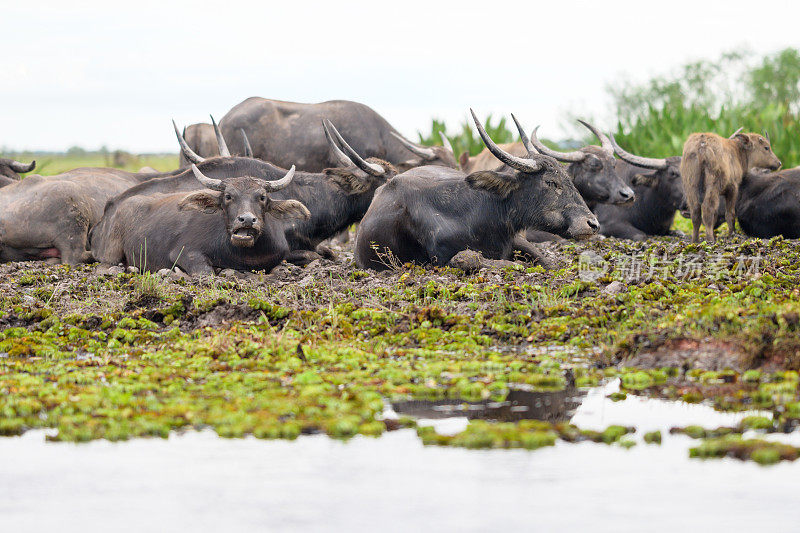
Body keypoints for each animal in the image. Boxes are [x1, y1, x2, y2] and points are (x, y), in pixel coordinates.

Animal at [90, 163, 310, 274]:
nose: (246, 220)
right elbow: (206, 272)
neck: (247, 254)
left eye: (262, 197)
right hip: (110, 254)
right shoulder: (185, 253)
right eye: (228, 196)